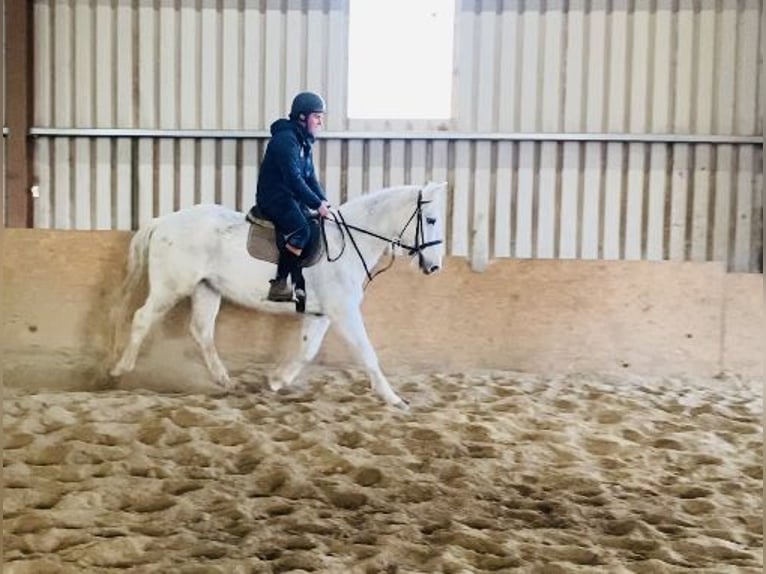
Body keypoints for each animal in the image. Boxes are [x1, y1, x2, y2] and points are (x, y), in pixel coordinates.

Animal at [109, 181, 450, 410]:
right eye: (431, 220)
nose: (434, 266)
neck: (349, 242)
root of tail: (162, 221)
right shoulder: (344, 312)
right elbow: (367, 352)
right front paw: (394, 399)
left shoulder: (321, 314)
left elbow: (307, 350)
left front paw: (277, 381)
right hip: (171, 286)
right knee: (142, 319)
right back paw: (118, 370)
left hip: (207, 288)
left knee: (201, 332)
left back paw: (224, 380)